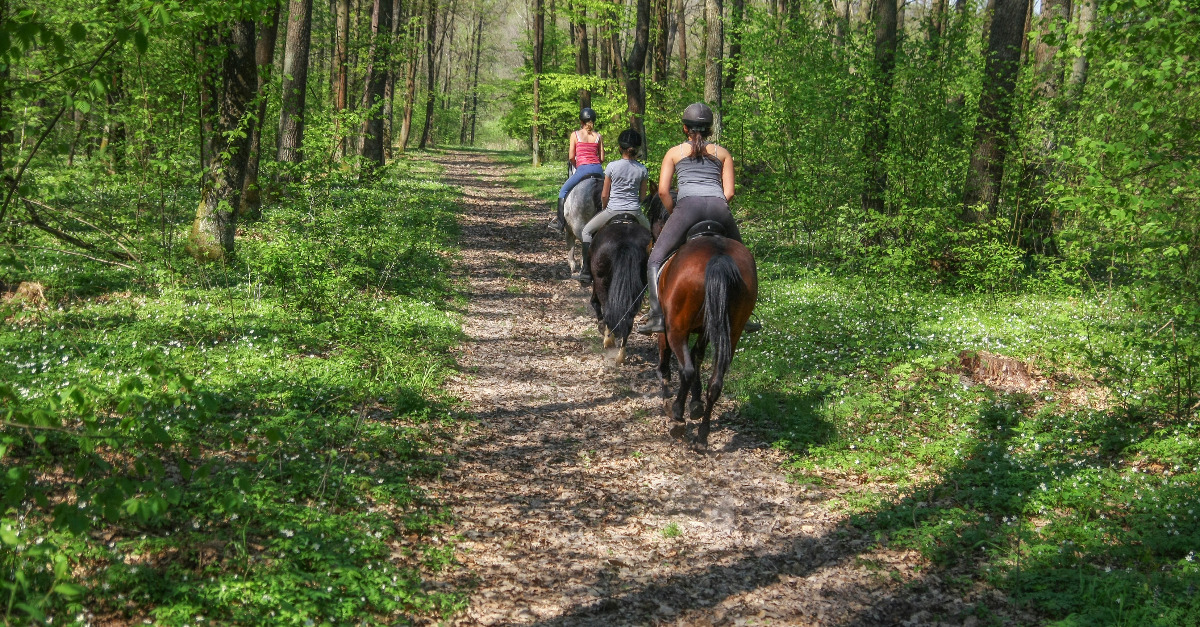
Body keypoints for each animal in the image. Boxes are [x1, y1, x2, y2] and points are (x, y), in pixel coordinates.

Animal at [588, 213, 652, 362]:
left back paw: (608, 341)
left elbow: (595, 303)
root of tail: (626, 244)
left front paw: (601, 328)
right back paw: (621, 356)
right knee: (629, 319)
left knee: (606, 309)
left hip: (602, 281)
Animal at [652, 201, 753, 444]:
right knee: (716, 382)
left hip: (677, 327)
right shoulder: (707, 329)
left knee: (686, 369)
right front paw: (696, 402)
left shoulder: (668, 325)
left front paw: (667, 392)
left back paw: (677, 417)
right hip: (732, 332)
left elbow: (670, 355)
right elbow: (698, 355)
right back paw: (702, 436)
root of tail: (719, 257)